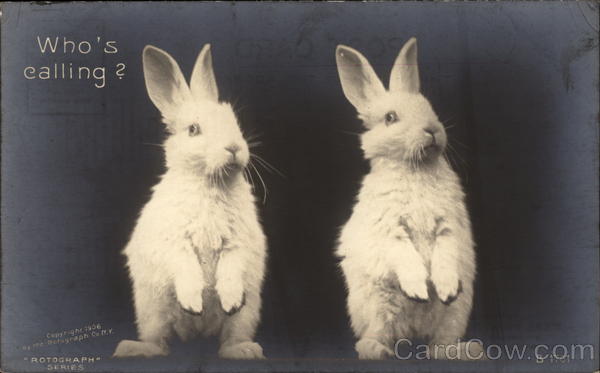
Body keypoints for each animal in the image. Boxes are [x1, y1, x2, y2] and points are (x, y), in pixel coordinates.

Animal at [114, 43, 268, 358]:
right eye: (194, 129)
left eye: (234, 123)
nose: (234, 148)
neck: (211, 183)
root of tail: (198, 334)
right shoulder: (173, 241)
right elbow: (184, 266)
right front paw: (194, 303)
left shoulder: (239, 241)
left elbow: (231, 268)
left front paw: (229, 300)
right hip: (153, 311)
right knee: (159, 343)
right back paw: (134, 348)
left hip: (247, 315)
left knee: (229, 340)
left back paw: (244, 350)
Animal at [338, 37, 478, 358]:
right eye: (390, 118)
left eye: (429, 107)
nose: (432, 130)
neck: (416, 168)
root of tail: (414, 333)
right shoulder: (389, 226)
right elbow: (403, 255)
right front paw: (418, 289)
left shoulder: (449, 224)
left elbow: (446, 253)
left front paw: (444, 288)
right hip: (377, 306)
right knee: (374, 336)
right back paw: (379, 350)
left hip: (456, 314)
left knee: (438, 346)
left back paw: (467, 349)